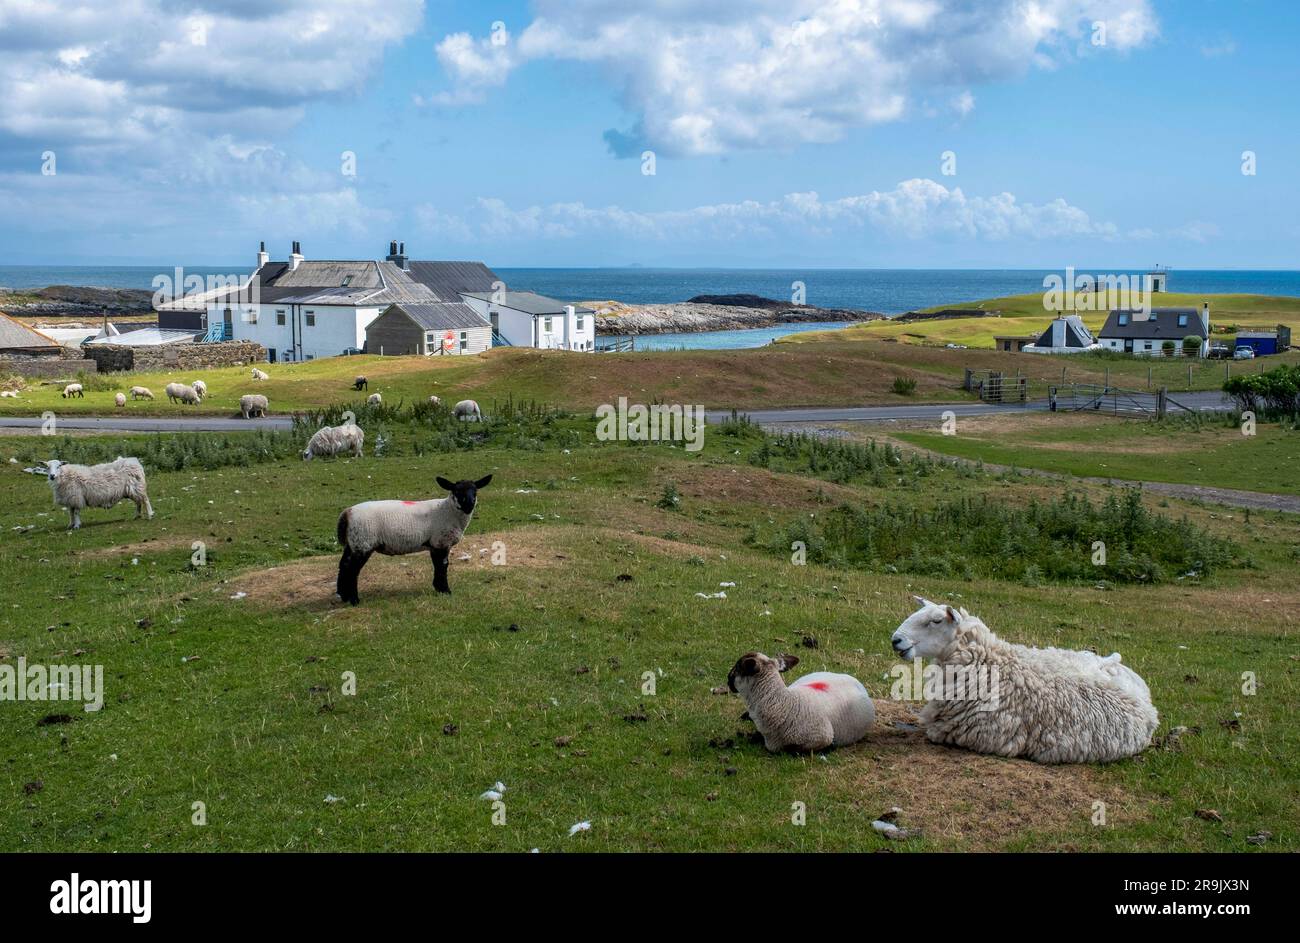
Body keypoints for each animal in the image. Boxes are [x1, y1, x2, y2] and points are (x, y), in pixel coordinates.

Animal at [335, 473, 491, 606]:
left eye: (475, 491)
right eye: (457, 491)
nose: (469, 504)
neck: (447, 511)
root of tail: (347, 513)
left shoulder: (434, 544)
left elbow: (437, 565)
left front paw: (438, 588)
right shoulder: (441, 542)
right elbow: (443, 566)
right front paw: (446, 590)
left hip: (353, 543)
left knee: (343, 565)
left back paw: (343, 596)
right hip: (363, 542)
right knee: (352, 570)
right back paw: (354, 600)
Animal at [733, 650, 873, 754]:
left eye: (737, 668)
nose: (729, 681)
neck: (784, 704)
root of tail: (855, 680)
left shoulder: (822, 738)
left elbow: (793, 749)